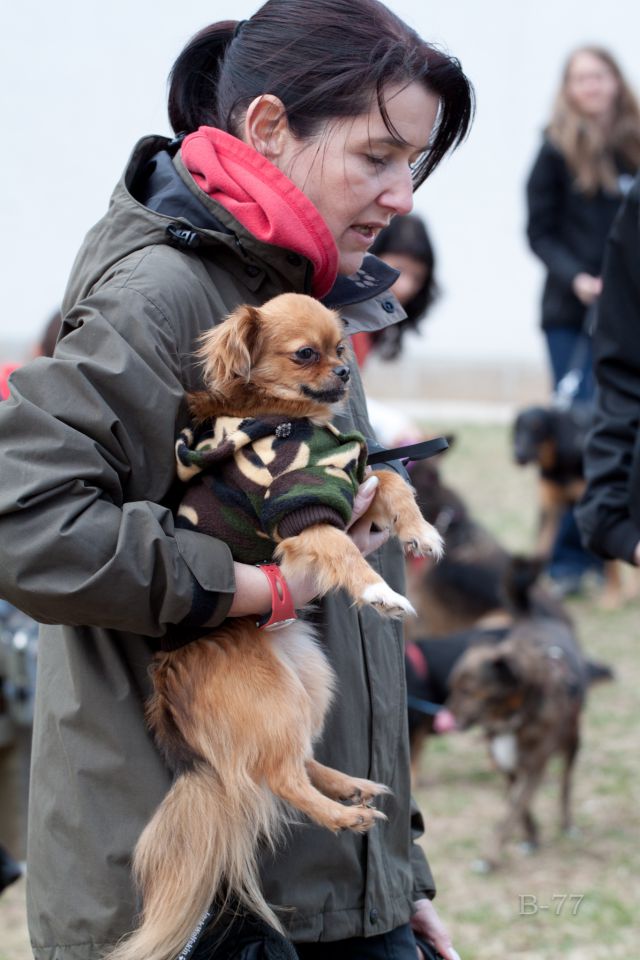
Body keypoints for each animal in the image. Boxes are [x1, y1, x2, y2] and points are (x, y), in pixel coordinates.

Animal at [107, 294, 442, 960]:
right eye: (306, 354)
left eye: (341, 348)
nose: (344, 373)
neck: (291, 421)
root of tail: (166, 678)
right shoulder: (302, 511)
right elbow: (344, 549)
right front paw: (379, 591)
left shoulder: (354, 478)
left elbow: (393, 480)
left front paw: (421, 531)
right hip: (270, 692)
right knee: (277, 774)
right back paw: (345, 817)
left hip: (308, 675)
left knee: (291, 760)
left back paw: (349, 787)